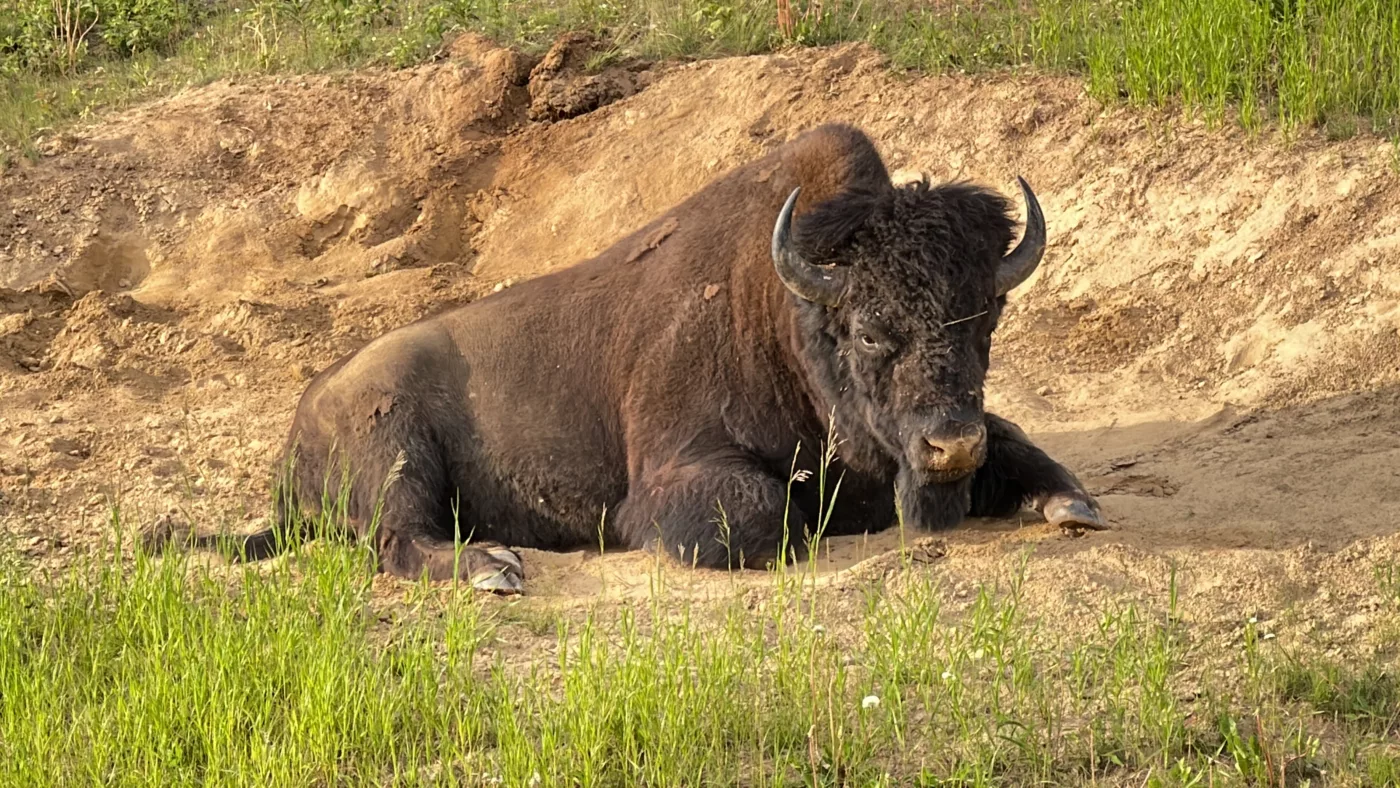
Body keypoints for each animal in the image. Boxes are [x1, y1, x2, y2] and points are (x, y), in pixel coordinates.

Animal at [161, 123, 1103, 593]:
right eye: (871, 329)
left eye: (988, 316)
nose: (950, 445)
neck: (783, 313)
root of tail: (297, 430)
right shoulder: (678, 474)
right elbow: (768, 522)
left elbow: (1029, 450)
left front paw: (1072, 505)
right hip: (395, 452)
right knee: (397, 540)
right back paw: (496, 571)